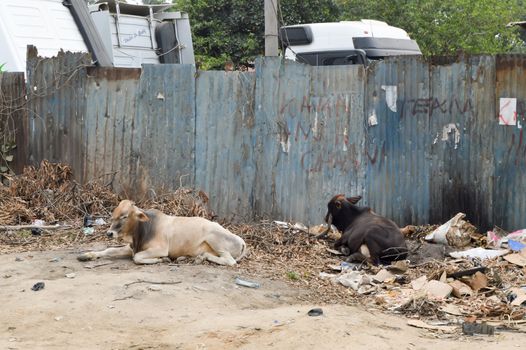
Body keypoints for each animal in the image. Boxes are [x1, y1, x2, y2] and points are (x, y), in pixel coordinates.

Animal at [78, 200, 248, 266]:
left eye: (124, 216)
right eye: (113, 215)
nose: (109, 233)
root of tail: (242, 240)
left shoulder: (160, 249)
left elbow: (137, 258)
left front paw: (162, 259)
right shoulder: (131, 247)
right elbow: (109, 250)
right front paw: (87, 255)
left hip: (214, 239)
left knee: (229, 261)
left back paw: (203, 256)